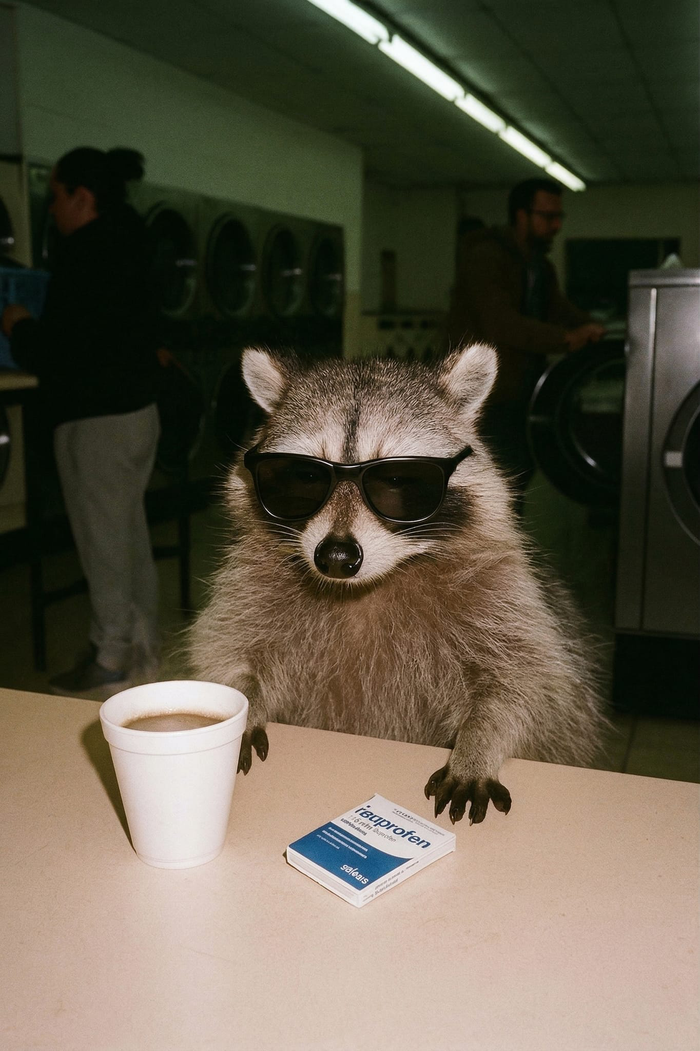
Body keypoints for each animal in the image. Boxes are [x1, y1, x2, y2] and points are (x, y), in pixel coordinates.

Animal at [189, 344, 607, 824]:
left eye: (397, 481)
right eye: (303, 477)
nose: (336, 558)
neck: (364, 587)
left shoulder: (507, 596)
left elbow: (530, 686)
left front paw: (478, 745)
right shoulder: (249, 587)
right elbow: (226, 654)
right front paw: (239, 707)